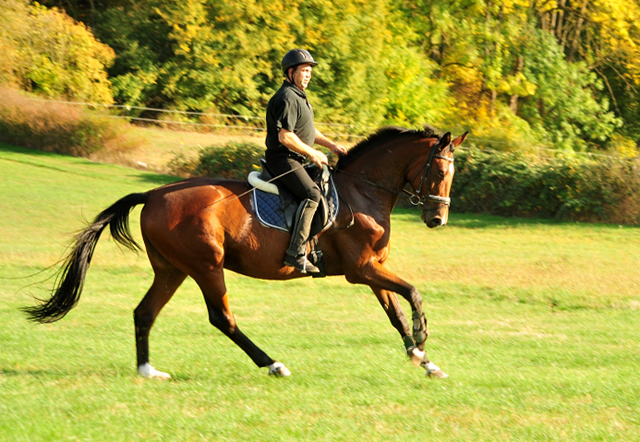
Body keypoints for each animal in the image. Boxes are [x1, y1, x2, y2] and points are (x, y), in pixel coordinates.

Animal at [25, 127, 468, 380]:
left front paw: (424, 359)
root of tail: (153, 194)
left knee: (144, 312)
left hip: (172, 269)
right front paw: (423, 339)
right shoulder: (361, 270)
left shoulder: (374, 268)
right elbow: (413, 293)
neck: (363, 191)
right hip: (206, 265)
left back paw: (147, 370)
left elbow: (395, 311)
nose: (438, 219)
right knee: (221, 317)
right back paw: (273, 364)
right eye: (439, 171)